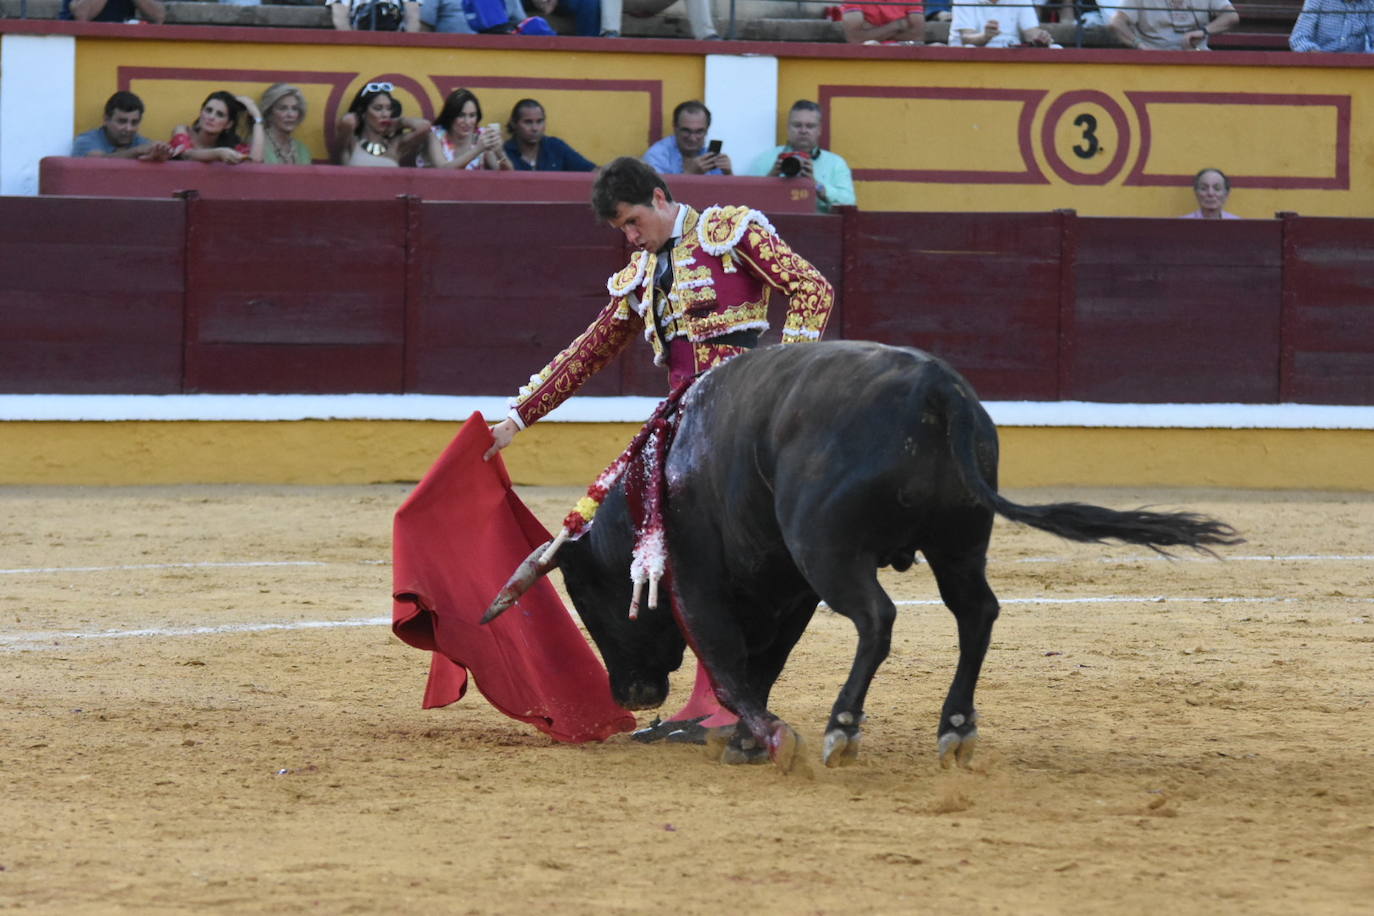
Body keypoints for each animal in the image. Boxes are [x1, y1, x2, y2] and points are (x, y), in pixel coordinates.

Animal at [486, 343, 1247, 774]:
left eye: (590, 601)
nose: (631, 696)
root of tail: (941, 392)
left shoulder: (703, 579)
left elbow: (732, 667)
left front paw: (769, 739)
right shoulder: (786, 588)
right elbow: (762, 663)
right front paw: (747, 742)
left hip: (830, 550)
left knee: (878, 618)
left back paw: (840, 730)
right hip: (958, 542)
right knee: (977, 613)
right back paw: (954, 730)